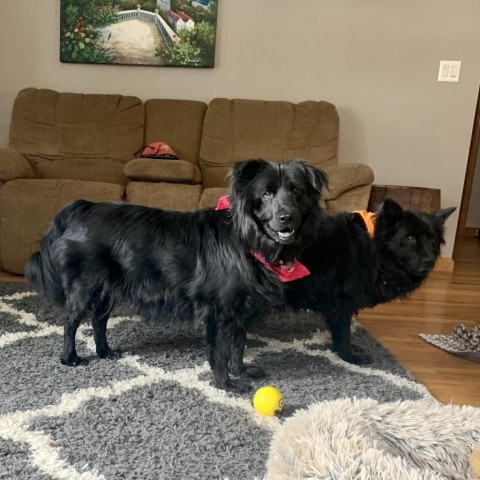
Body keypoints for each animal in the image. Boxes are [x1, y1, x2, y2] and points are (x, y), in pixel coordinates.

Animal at [25, 159, 326, 392]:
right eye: (267, 194)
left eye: (297, 191)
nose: (287, 217)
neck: (247, 240)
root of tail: (79, 208)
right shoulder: (219, 311)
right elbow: (220, 352)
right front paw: (226, 384)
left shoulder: (241, 310)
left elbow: (238, 346)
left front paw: (241, 371)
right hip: (85, 286)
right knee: (70, 323)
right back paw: (70, 358)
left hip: (107, 290)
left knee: (99, 321)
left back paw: (105, 352)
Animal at [284, 199, 458, 364]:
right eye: (410, 237)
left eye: (432, 239)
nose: (430, 262)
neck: (372, 247)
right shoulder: (342, 305)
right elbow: (344, 335)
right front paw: (350, 357)